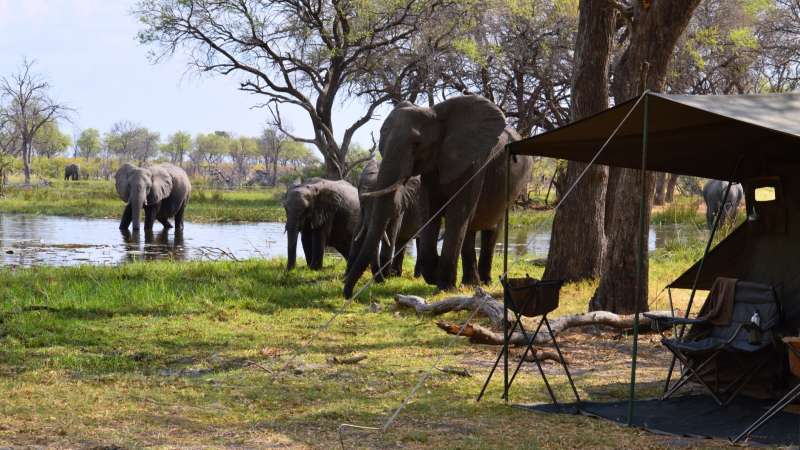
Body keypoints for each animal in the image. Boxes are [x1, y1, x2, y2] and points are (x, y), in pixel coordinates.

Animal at [344, 95, 533, 298]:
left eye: (417, 144)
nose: (348, 295)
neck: (435, 113)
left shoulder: (474, 163)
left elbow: (457, 214)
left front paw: (445, 286)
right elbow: (429, 211)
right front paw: (435, 274)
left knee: (490, 226)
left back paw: (484, 282)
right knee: (469, 229)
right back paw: (470, 284)